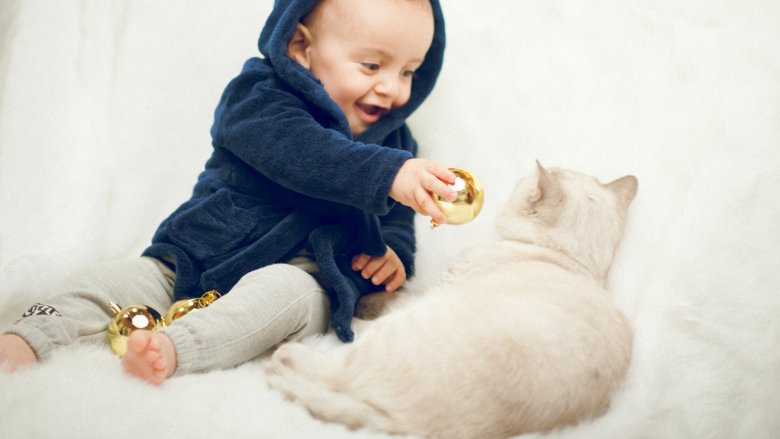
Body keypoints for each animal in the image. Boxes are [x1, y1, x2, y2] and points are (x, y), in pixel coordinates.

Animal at [266, 162, 636, 439]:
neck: (573, 262)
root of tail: (414, 428)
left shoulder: (440, 289)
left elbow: (396, 298)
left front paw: (365, 305)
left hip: (393, 334)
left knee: (329, 368)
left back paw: (298, 350)